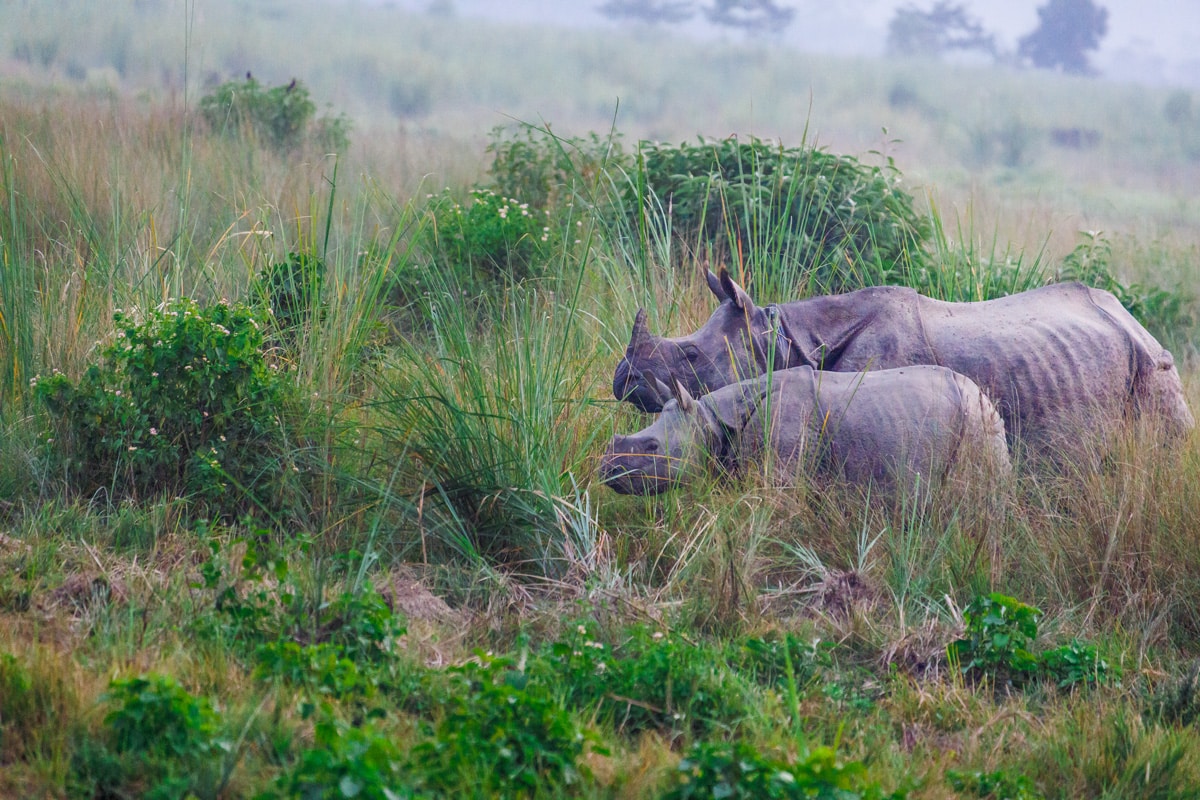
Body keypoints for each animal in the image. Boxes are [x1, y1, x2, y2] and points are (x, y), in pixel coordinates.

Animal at [604, 364, 1008, 501]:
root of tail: (982, 394)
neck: (712, 420)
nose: (607, 469)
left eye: (653, 446)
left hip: (976, 420)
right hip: (975, 415)